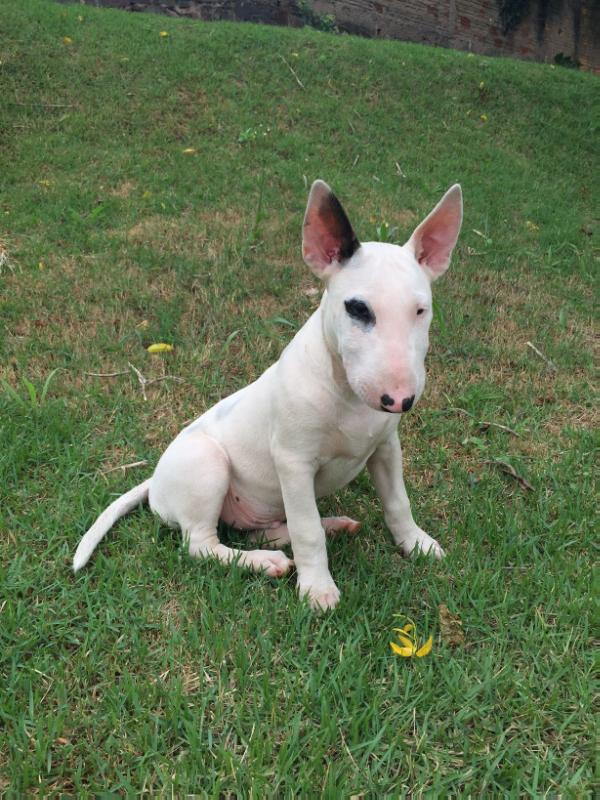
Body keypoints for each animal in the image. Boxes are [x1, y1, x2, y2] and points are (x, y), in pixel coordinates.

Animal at [72, 178, 462, 608]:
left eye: (420, 311)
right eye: (358, 309)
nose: (399, 400)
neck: (343, 391)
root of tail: (154, 482)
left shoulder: (386, 448)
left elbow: (397, 502)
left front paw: (417, 543)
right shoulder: (293, 462)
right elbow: (307, 530)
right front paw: (317, 589)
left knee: (268, 527)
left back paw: (325, 527)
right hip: (206, 464)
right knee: (201, 544)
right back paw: (263, 561)